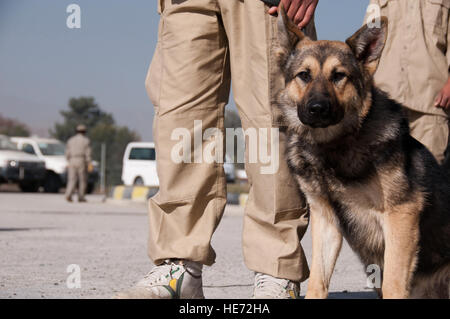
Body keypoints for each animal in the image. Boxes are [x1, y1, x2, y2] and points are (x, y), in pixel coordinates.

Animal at [274, 10, 450, 300]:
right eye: (304, 75)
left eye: (338, 76)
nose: (317, 108)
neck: (334, 146)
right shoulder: (326, 220)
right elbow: (317, 281)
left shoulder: (401, 214)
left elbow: (392, 283)